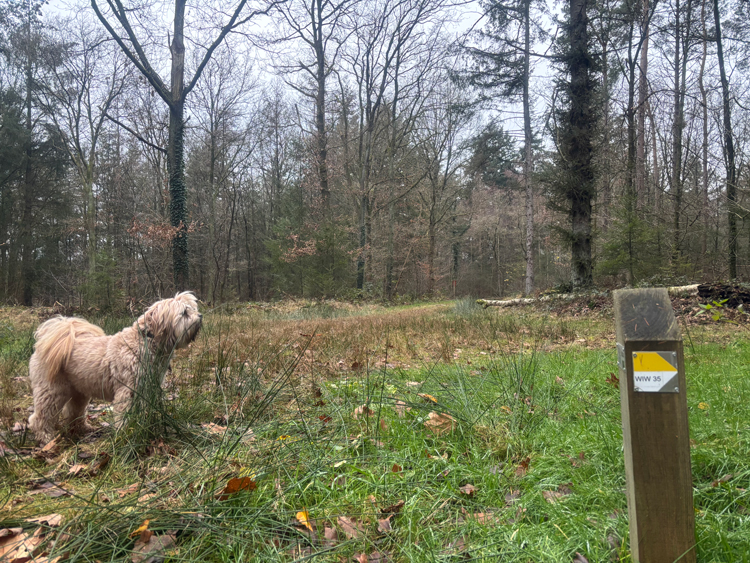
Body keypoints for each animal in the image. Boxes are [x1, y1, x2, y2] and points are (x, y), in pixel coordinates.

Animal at [29, 290, 201, 446]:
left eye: (192, 309)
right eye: (185, 313)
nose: (200, 316)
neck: (145, 341)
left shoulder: (146, 390)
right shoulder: (128, 391)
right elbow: (124, 414)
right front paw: (127, 433)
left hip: (79, 392)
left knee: (73, 413)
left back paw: (83, 429)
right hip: (52, 390)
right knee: (40, 417)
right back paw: (46, 437)